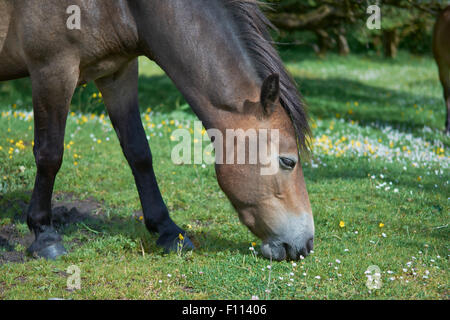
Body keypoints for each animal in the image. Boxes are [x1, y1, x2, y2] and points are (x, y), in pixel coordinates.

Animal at [0, 0, 312, 262]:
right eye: (288, 161)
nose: (306, 244)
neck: (124, 7)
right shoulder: (52, 69)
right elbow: (49, 155)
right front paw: (44, 235)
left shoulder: (117, 73)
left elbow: (139, 152)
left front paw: (168, 231)